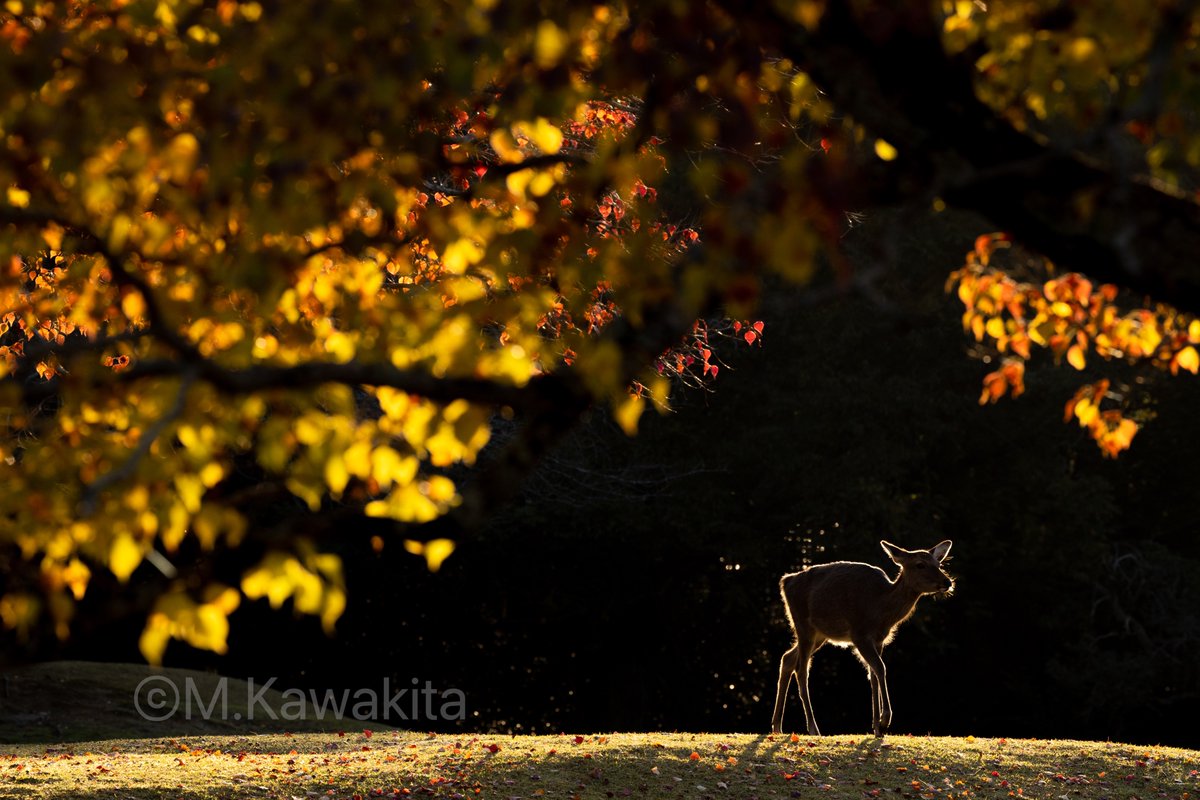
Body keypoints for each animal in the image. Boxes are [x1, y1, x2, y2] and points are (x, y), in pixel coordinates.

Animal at [770, 540, 955, 737]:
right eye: (920, 564)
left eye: (939, 564)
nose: (947, 582)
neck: (879, 609)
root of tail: (785, 581)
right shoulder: (859, 634)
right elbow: (880, 668)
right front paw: (884, 720)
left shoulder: (879, 639)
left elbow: (873, 675)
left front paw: (877, 728)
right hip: (803, 624)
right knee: (802, 670)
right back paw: (813, 728)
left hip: (820, 634)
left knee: (788, 658)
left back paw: (777, 726)